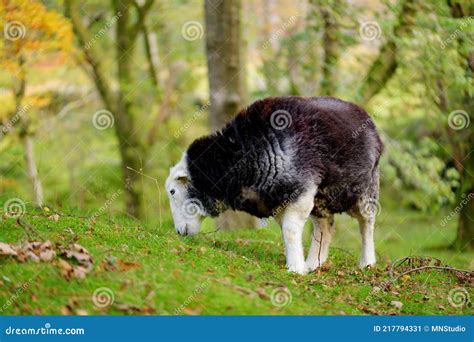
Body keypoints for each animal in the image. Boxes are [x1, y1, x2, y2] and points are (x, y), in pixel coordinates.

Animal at [166, 96, 382, 276]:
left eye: (172, 191)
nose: (178, 232)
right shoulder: (277, 200)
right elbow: (287, 232)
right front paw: (298, 263)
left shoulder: (301, 192)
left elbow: (290, 231)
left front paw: (295, 269)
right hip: (322, 200)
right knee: (325, 227)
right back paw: (314, 263)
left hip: (365, 190)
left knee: (367, 224)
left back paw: (367, 262)